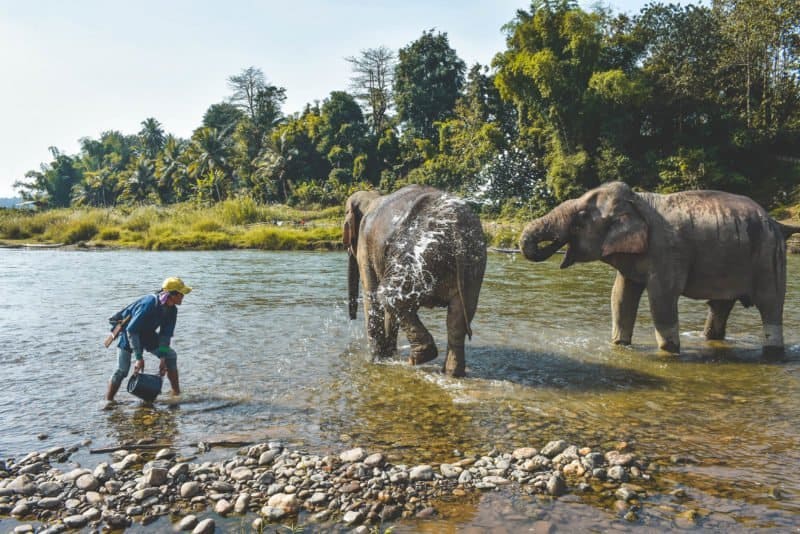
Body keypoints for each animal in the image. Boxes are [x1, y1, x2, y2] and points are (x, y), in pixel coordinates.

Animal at [340, 186, 484, 378]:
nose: (352, 318)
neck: (372, 196)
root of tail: (456, 228)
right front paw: (388, 356)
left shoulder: (365, 244)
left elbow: (372, 296)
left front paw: (375, 361)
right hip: (472, 263)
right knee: (457, 318)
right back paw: (451, 374)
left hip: (417, 255)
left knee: (389, 296)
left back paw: (419, 358)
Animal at [520, 182, 800, 358]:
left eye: (580, 218)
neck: (639, 200)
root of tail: (777, 223)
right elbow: (621, 295)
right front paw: (620, 345)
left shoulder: (667, 251)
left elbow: (661, 297)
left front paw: (668, 352)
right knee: (720, 306)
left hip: (768, 257)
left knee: (770, 305)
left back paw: (773, 353)